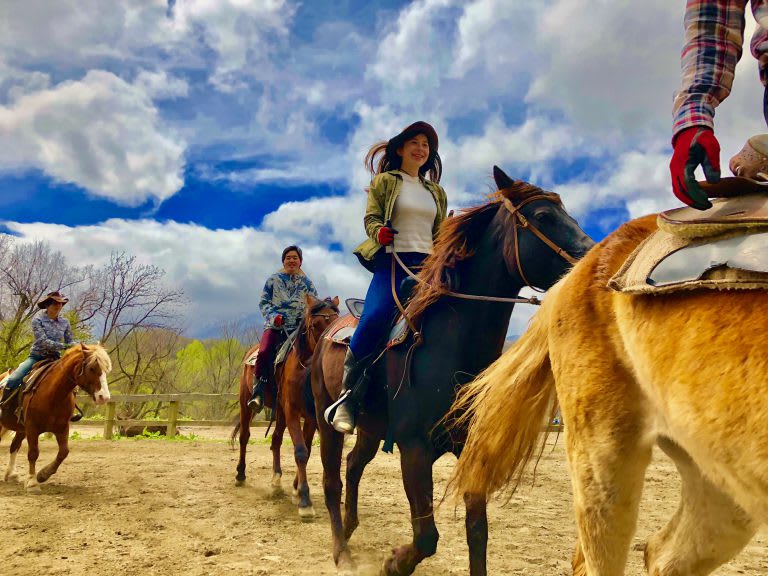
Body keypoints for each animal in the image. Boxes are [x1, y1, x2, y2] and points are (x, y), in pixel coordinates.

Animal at [0, 344, 112, 492]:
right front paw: (32, 482)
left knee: (14, 446)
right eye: (92, 368)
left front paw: (43, 474)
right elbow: (33, 453)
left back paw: (11, 474)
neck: (54, 394)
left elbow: (64, 452)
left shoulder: (62, 428)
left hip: (21, 430)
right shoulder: (32, 428)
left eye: (106, 370)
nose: (104, 397)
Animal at [231, 296, 340, 516]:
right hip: (247, 404)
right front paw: (305, 501)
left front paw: (296, 490)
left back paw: (276, 481)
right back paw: (240, 475)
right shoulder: (292, 411)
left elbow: (307, 449)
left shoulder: (311, 416)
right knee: (245, 437)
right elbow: (300, 452)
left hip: (279, 412)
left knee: (275, 440)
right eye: (315, 325)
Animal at [308, 164, 592, 572]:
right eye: (542, 216)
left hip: (372, 429)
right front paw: (394, 563)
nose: (594, 259)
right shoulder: (414, 448)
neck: (452, 346)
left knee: (353, 465)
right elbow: (426, 536)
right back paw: (341, 550)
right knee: (333, 481)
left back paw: (349, 530)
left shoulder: (470, 449)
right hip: (325, 418)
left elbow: (478, 535)